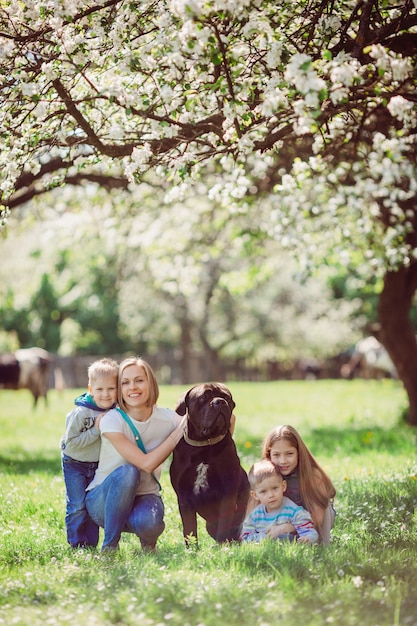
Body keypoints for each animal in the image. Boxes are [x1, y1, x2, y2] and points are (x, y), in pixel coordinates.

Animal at [168, 380, 249, 540]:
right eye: (204, 397)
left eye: (226, 397)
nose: (220, 402)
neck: (204, 445)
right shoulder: (184, 497)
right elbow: (190, 531)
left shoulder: (227, 493)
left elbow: (224, 527)